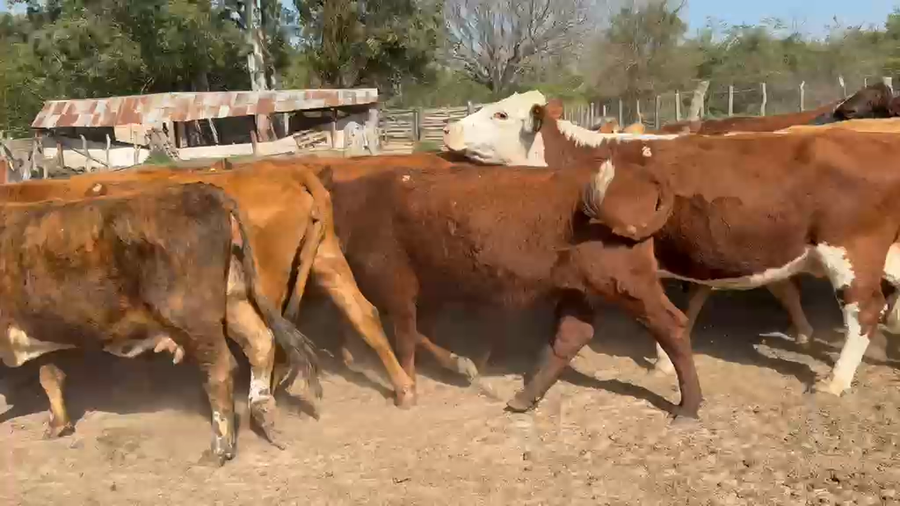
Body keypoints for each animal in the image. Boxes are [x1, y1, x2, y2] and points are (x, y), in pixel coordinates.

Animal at [0, 163, 417, 413]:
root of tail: (285, 170)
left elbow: (46, 368)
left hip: (260, 286)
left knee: (268, 340)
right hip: (328, 262)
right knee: (363, 313)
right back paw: (404, 388)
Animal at [0, 183, 320, 464]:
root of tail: (206, 192)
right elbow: (49, 375)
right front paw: (58, 424)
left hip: (193, 318)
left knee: (220, 370)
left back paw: (219, 449)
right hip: (234, 299)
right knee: (261, 342)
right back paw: (263, 413)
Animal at [444, 90, 900, 397]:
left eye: (500, 113)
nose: (448, 130)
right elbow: (686, 308)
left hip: (849, 253)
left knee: (864, 311)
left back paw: (835, 381)